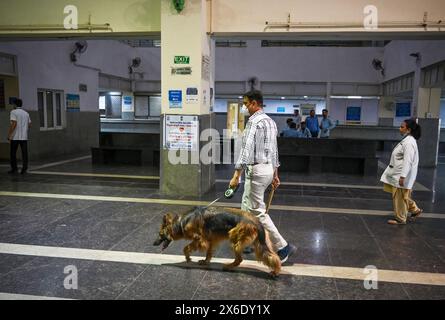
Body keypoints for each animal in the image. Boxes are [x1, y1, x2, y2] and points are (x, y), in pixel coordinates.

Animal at [151, 206, 280, 276]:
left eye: (160, 234)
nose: (153, 243)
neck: (182, 223)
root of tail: (255, 221)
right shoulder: (210, 240)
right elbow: (208, 253)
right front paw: (205, 261)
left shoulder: (200, 239)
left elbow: (186, 248)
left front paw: (188, 258)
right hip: (259, 243)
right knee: (271, 256)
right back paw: (276, 270)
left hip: (235, 239)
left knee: (239, 259)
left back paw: (229, 266)